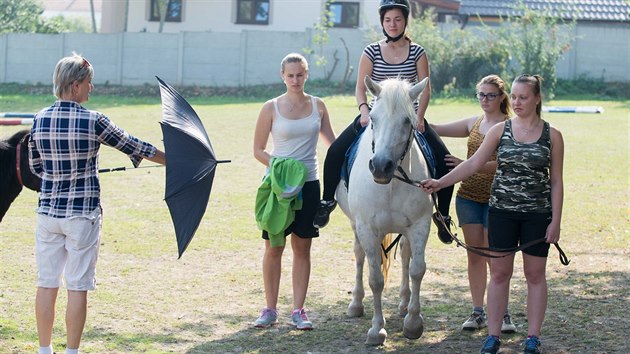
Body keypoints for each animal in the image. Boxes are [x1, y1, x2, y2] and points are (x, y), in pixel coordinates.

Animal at [336, 76, 434, 344]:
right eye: (373, 118)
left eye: (407, 120)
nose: (380, 166)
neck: (391, 184)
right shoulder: (367, 229)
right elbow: (376, 280)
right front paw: (377, 329)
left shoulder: (420, 225)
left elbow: (417, 270)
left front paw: (413, 323)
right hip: (356, 226)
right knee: (359, 256)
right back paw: (356, 304)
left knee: (405, 255)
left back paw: (403, 304)